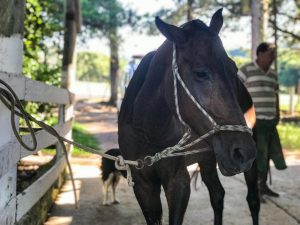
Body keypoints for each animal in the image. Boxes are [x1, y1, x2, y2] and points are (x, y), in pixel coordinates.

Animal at [118, 8, 258, 225]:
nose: (243, 152)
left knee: (252, 200)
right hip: (210, 157)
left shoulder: (178, 181)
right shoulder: (143, 185)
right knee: (217, 195)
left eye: (234, 69)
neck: (147, 130)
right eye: (200, 73)